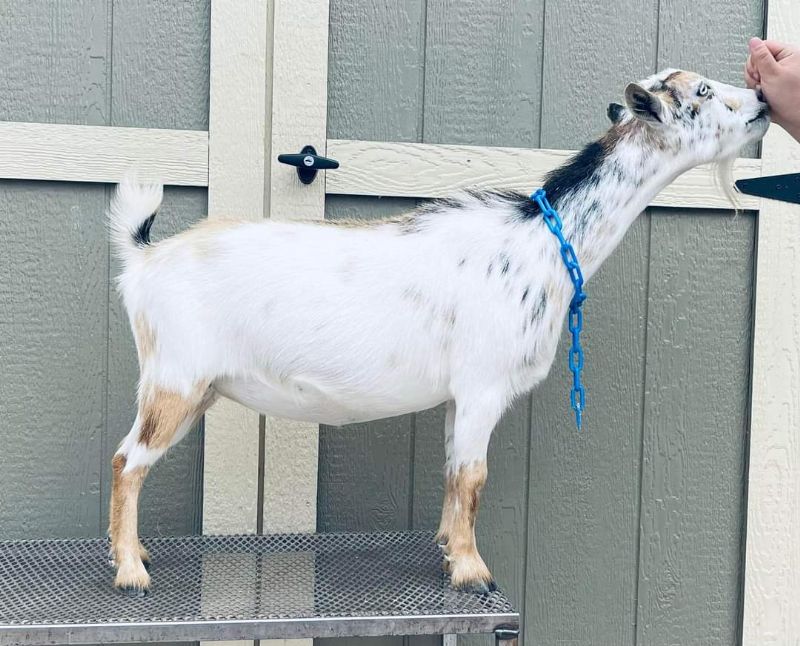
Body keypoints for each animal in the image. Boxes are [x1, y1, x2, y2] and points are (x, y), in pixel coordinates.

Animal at [106, 69, 768, 596]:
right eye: (703, 91)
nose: (763, 100)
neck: (543, 242)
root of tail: (144, 259)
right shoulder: (484, 386)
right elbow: (474, 476)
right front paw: (474, 574)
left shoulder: (460, 397)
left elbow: (453, 473)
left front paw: (451, 553)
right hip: (176, 380)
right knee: (127, 459)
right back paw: (130, 572)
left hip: (191, 385)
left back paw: (135, 552)